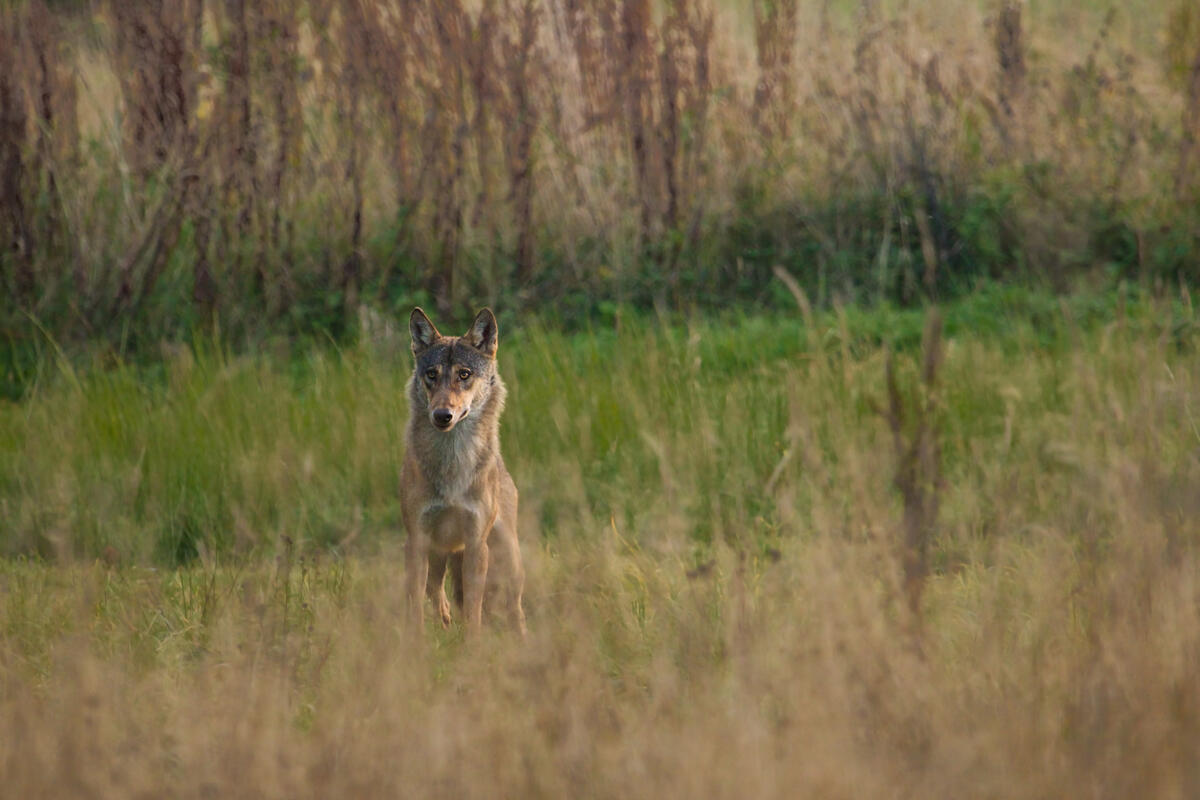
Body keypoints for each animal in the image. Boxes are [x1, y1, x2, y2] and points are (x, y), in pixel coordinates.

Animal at [398, 309, 525, 638]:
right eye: (431, 374)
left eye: (464, 374)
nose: (443, 415)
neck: (452, 463)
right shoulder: (417, 540)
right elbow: (416, 606)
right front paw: (415, 644)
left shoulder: (477, 543)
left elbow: (474, 610)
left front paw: (473, 645)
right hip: (437, 552)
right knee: (435, 588)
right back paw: (443, 619)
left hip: (508, 556)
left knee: (515, 606)